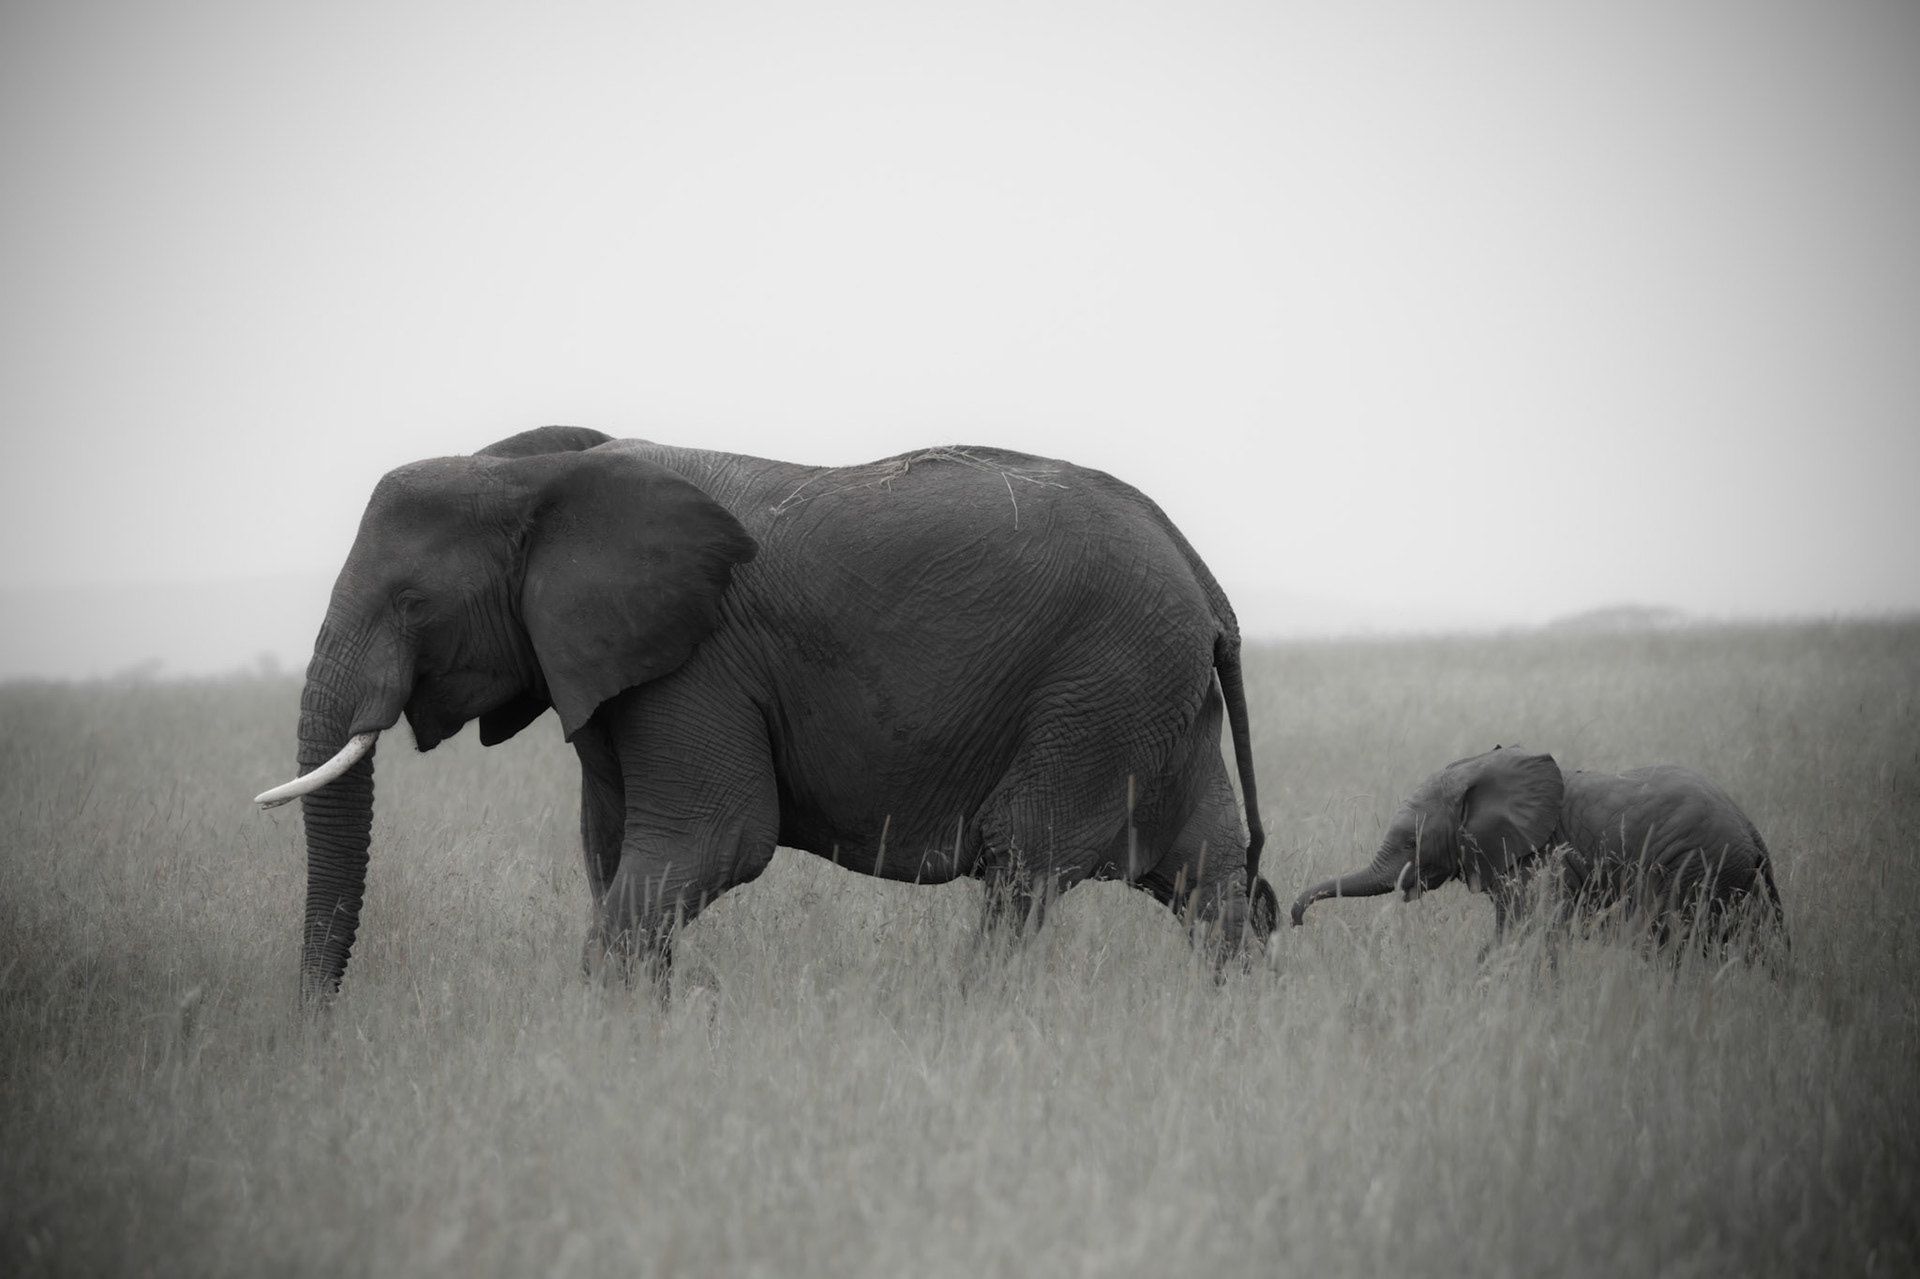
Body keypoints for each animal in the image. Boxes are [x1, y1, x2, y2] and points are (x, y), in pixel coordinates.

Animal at [257, 426, 1278, 1001]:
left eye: (413, 604)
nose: (317, 1034)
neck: (538, 478)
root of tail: (1208, 587)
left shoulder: (697, 664)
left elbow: (711, 844)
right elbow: (611, 853)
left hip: (1102, 685)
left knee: (1023, 866)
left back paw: (972, 1021)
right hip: (1153, 696)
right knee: (1210, 877)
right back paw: (1228, 1027)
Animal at [1288, 746, 1787, 956]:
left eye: (1410, 843)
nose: (1294, 923)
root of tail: (1751, 831)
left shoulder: (1540, 859)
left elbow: (1528, 930)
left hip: (1697, 867)